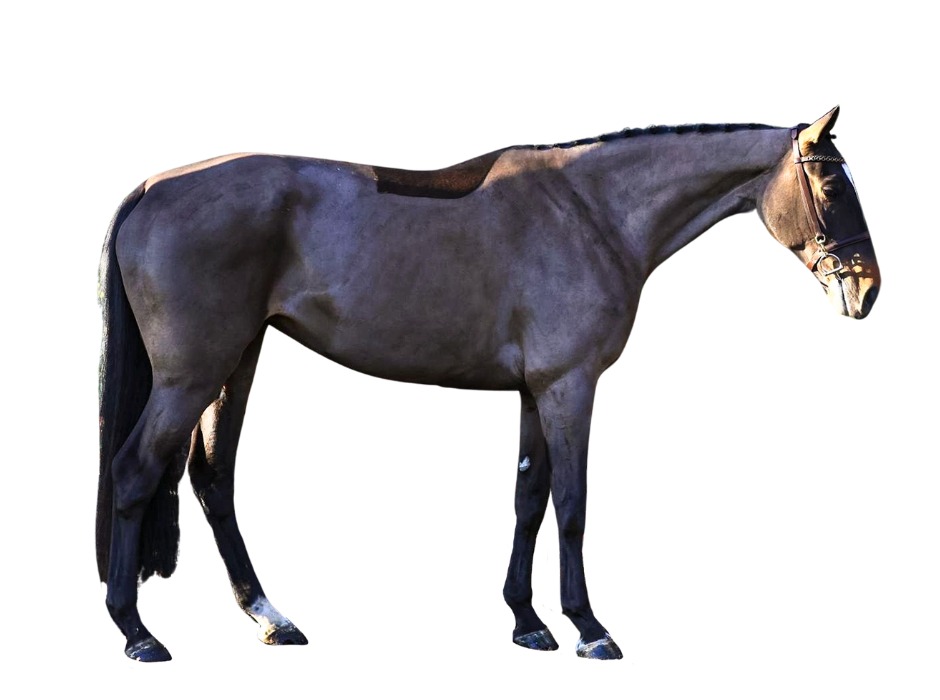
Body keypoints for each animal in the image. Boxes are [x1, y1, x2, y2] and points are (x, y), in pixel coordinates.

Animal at [96, 106, 880, 662]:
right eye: (830, 183)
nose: (867, 292)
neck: (593, 210)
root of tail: (153, 188)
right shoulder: (570, 387)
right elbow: (571, 502)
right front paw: (589, 628)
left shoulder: (536, 390)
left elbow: (529, 497)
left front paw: (528, 620)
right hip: (190, 374)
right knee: (135, 474)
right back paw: (138, 632)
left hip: (236, 363)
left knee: (212, 477)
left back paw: (270, 617)